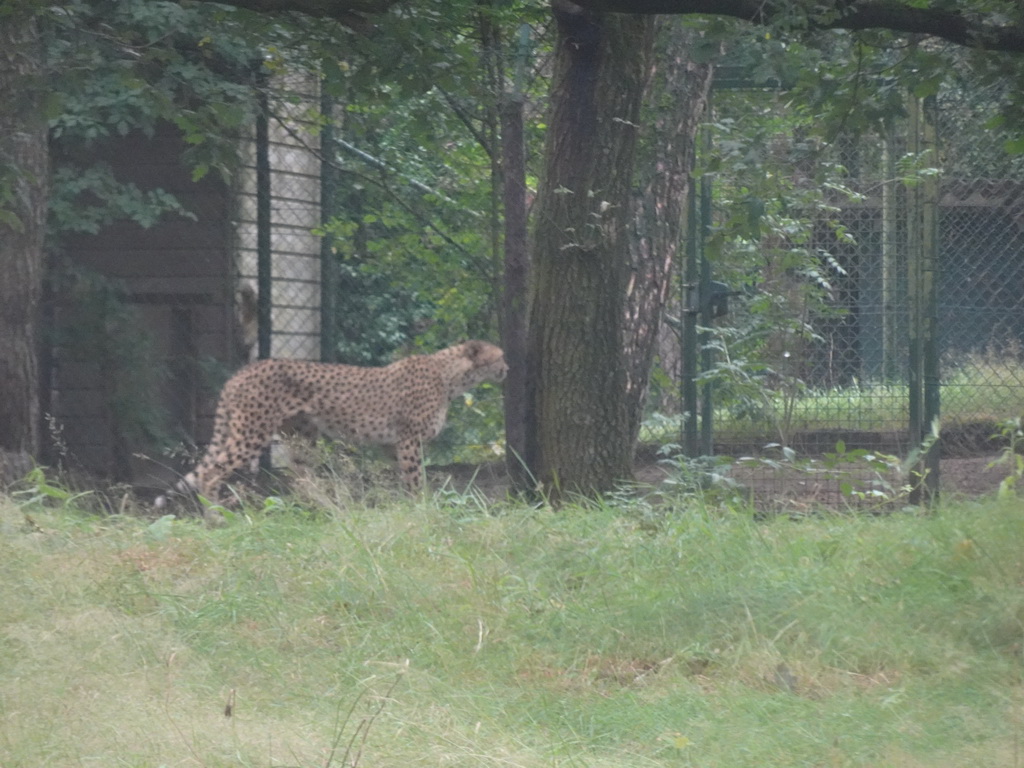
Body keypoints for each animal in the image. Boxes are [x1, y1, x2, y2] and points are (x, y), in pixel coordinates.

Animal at [167, 342, 507, 507]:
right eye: (499, 357)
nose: (508, 368)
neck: (451, 375)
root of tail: (244, 370)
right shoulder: (409, 440)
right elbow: (415, 479)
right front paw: (423, 509)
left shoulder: (392, 444)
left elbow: (407, 478)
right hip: (252, 431)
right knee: (211, 473)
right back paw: (216, 519)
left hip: (301, 435)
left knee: (302, 478)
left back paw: (330, 509)